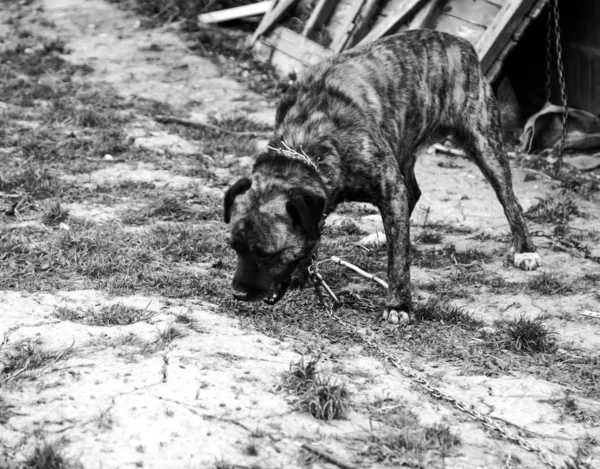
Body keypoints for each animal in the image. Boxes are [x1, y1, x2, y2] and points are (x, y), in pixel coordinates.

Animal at [223, 28, 540, 322]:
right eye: (235, 248)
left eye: (266, 254)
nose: (238, 293)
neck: (306, 138)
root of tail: (462, 44)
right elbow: (316, 233)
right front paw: (303, 270)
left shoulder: (387, 186)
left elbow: (398, 259)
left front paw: (399, 304)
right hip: (404, 144)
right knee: (413, 193)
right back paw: (379, 237)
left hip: (483, 142)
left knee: (510, 201)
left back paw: (525, 250)